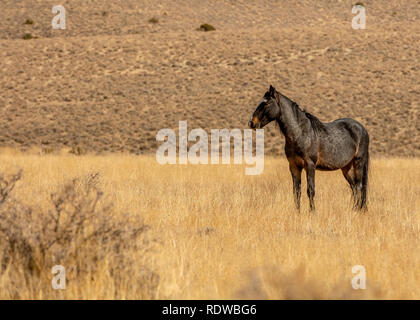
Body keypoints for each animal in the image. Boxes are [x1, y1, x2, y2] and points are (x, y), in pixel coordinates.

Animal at [248, 84, 370, 212]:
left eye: (266, 103)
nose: (251, 122)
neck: (300, 133)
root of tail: (362, 129)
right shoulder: (294, 166)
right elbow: (296, 192)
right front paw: (297, 212)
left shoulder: (310, 165)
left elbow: (310, 190)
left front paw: (312, 212)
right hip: (347, 167)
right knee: (354, 188)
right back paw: (354, 210)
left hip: (358, 163)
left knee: (359, 186)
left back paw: (357, 211)